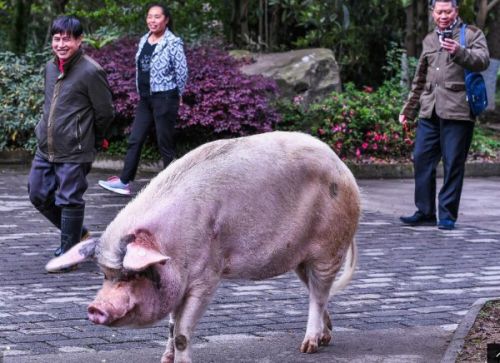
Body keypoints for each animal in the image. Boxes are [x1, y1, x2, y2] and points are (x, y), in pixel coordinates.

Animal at [46, 132, 360, 363]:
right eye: (106, 275)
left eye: (133, 274)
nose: (95, 308)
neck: (171, 245)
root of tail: (344, 169)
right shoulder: (178, 281)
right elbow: (171, 325)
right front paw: (165, 360)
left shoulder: (207, 276)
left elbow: (182, 332)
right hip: (301, 259)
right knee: (319, 293)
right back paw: (325, 338)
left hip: (329, 247)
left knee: (318, 295)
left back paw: (308, 347)